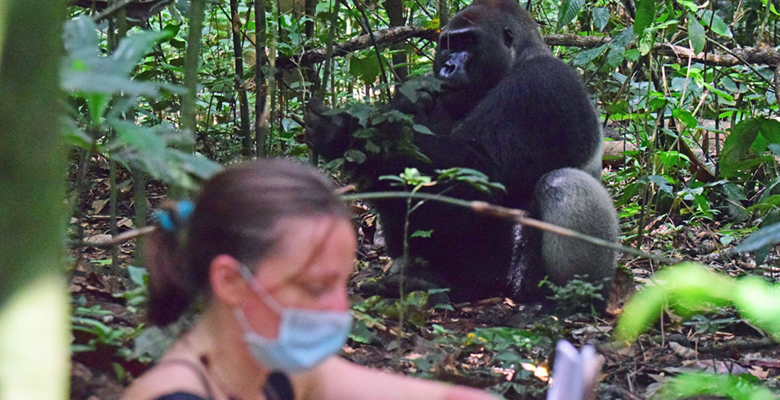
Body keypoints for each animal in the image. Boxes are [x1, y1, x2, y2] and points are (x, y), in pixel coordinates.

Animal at [308, 0, 620, 306]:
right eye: (447, 45)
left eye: (468, 42)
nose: (447, 66)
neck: (520, 57)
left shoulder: (541, 85)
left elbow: (479, 170)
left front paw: (349, 132)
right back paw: (429, 280)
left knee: (561, 183)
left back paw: (567, 298)